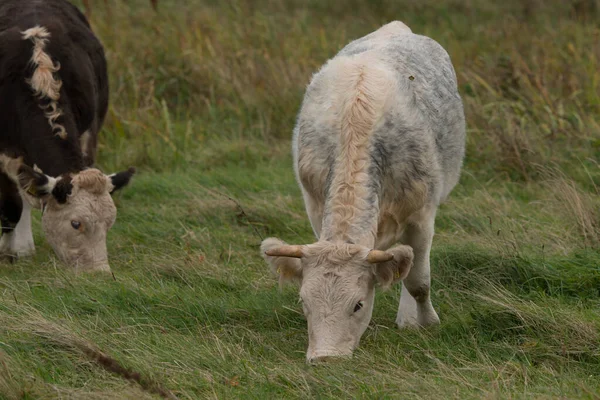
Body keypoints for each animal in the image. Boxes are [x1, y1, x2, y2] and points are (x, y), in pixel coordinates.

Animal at [0, 0, 134, 272]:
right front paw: (7, 251)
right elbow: (11, 207)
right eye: (75, 223)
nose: (100, 273)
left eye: (110, 222)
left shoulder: (88, 135)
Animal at [260, 21, 466, 362]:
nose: (325, 357)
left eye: (357, 304)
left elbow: (418, 281)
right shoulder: (315, 206)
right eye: (304, 302)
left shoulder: (421, 215)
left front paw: (426, 322)